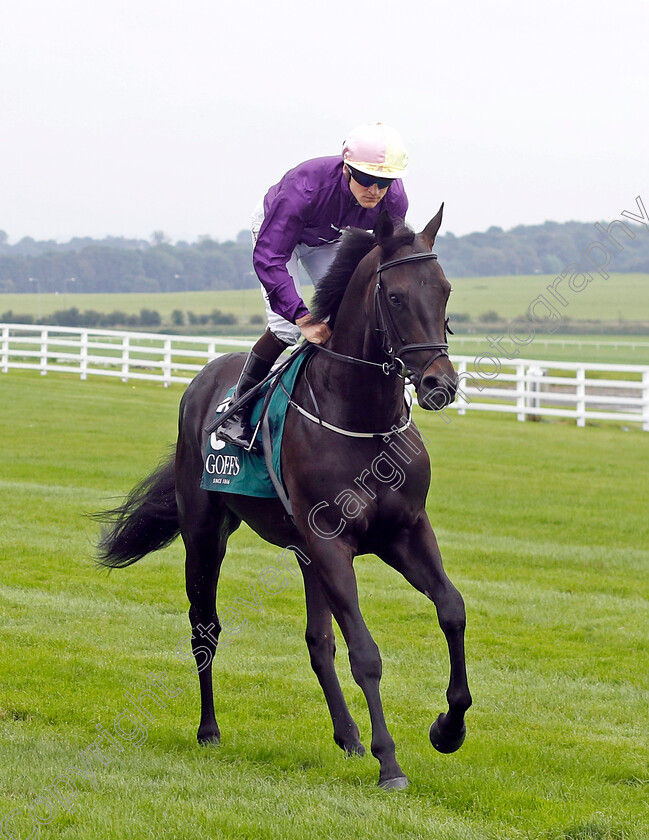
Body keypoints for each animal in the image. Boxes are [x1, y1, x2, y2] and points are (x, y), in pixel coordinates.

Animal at [96, 207, 470, 792]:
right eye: (395, 297)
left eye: (445, 290)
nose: (439, 384)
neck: (362, 419)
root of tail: (202, 379)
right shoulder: (332, 542)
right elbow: (366, 653)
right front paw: (390, 762)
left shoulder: (405, 530)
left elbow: (451, 610)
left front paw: (447, 728)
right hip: (206, 534)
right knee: (204, 627)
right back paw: (209, 730)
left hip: (303, 553)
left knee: (318, 642)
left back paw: (348, 737)